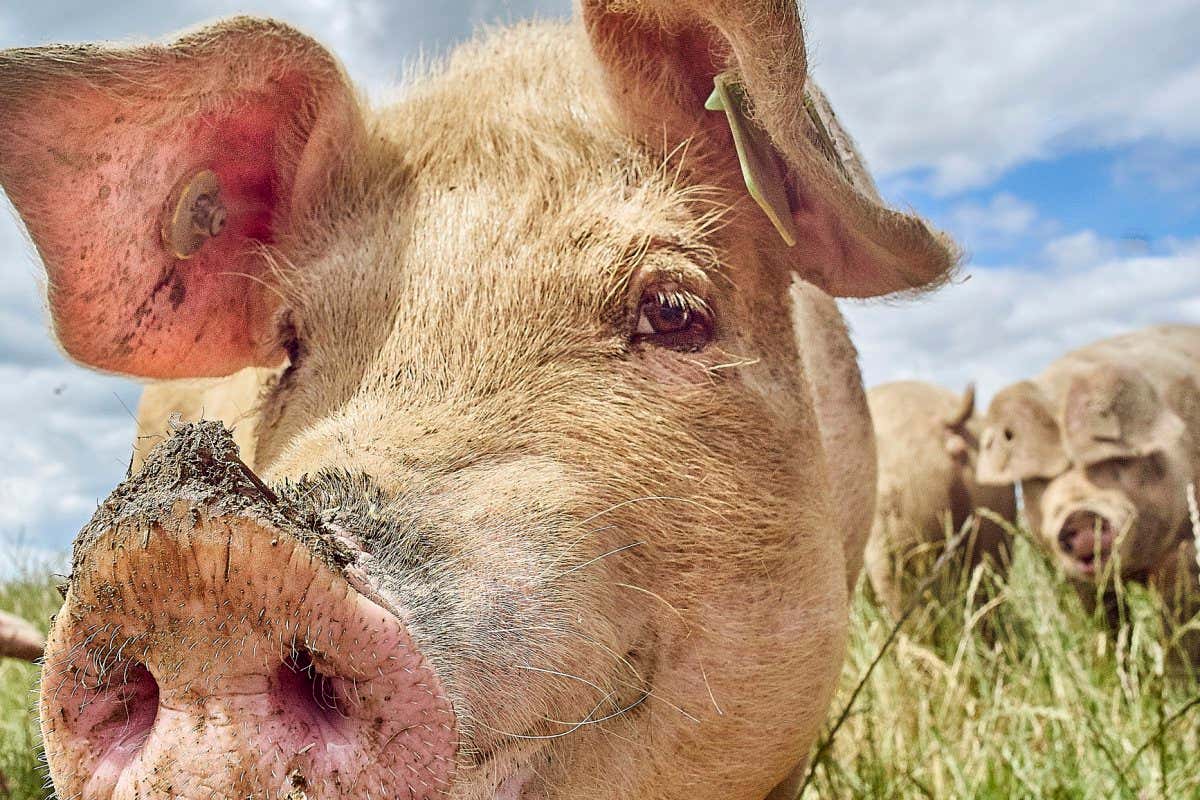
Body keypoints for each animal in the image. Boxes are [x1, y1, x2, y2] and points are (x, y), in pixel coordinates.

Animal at [977, 326, 1200, 661]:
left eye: (1118, 461)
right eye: (1038, 481)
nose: (1080, 515)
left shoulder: (1184, 550)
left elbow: (1179, 629)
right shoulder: (1070, 578)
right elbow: (1105, 626)